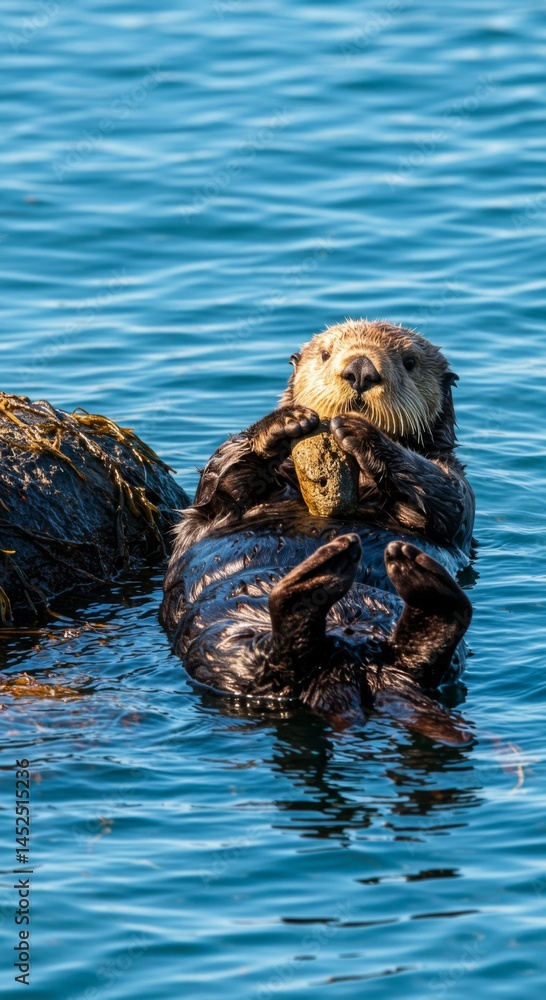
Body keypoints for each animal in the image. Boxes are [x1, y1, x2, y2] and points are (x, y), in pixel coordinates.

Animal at [160, 320, 475, 740]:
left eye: (409, 362)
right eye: (326, 354)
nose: (360, 369)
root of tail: (352, 664)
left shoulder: (455, 485)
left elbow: (447, 495)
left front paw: (361, 434)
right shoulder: (219, 500)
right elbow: (222, 476)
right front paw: (284, 423)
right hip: (222, 644)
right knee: (275, 664)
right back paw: (326, 576)